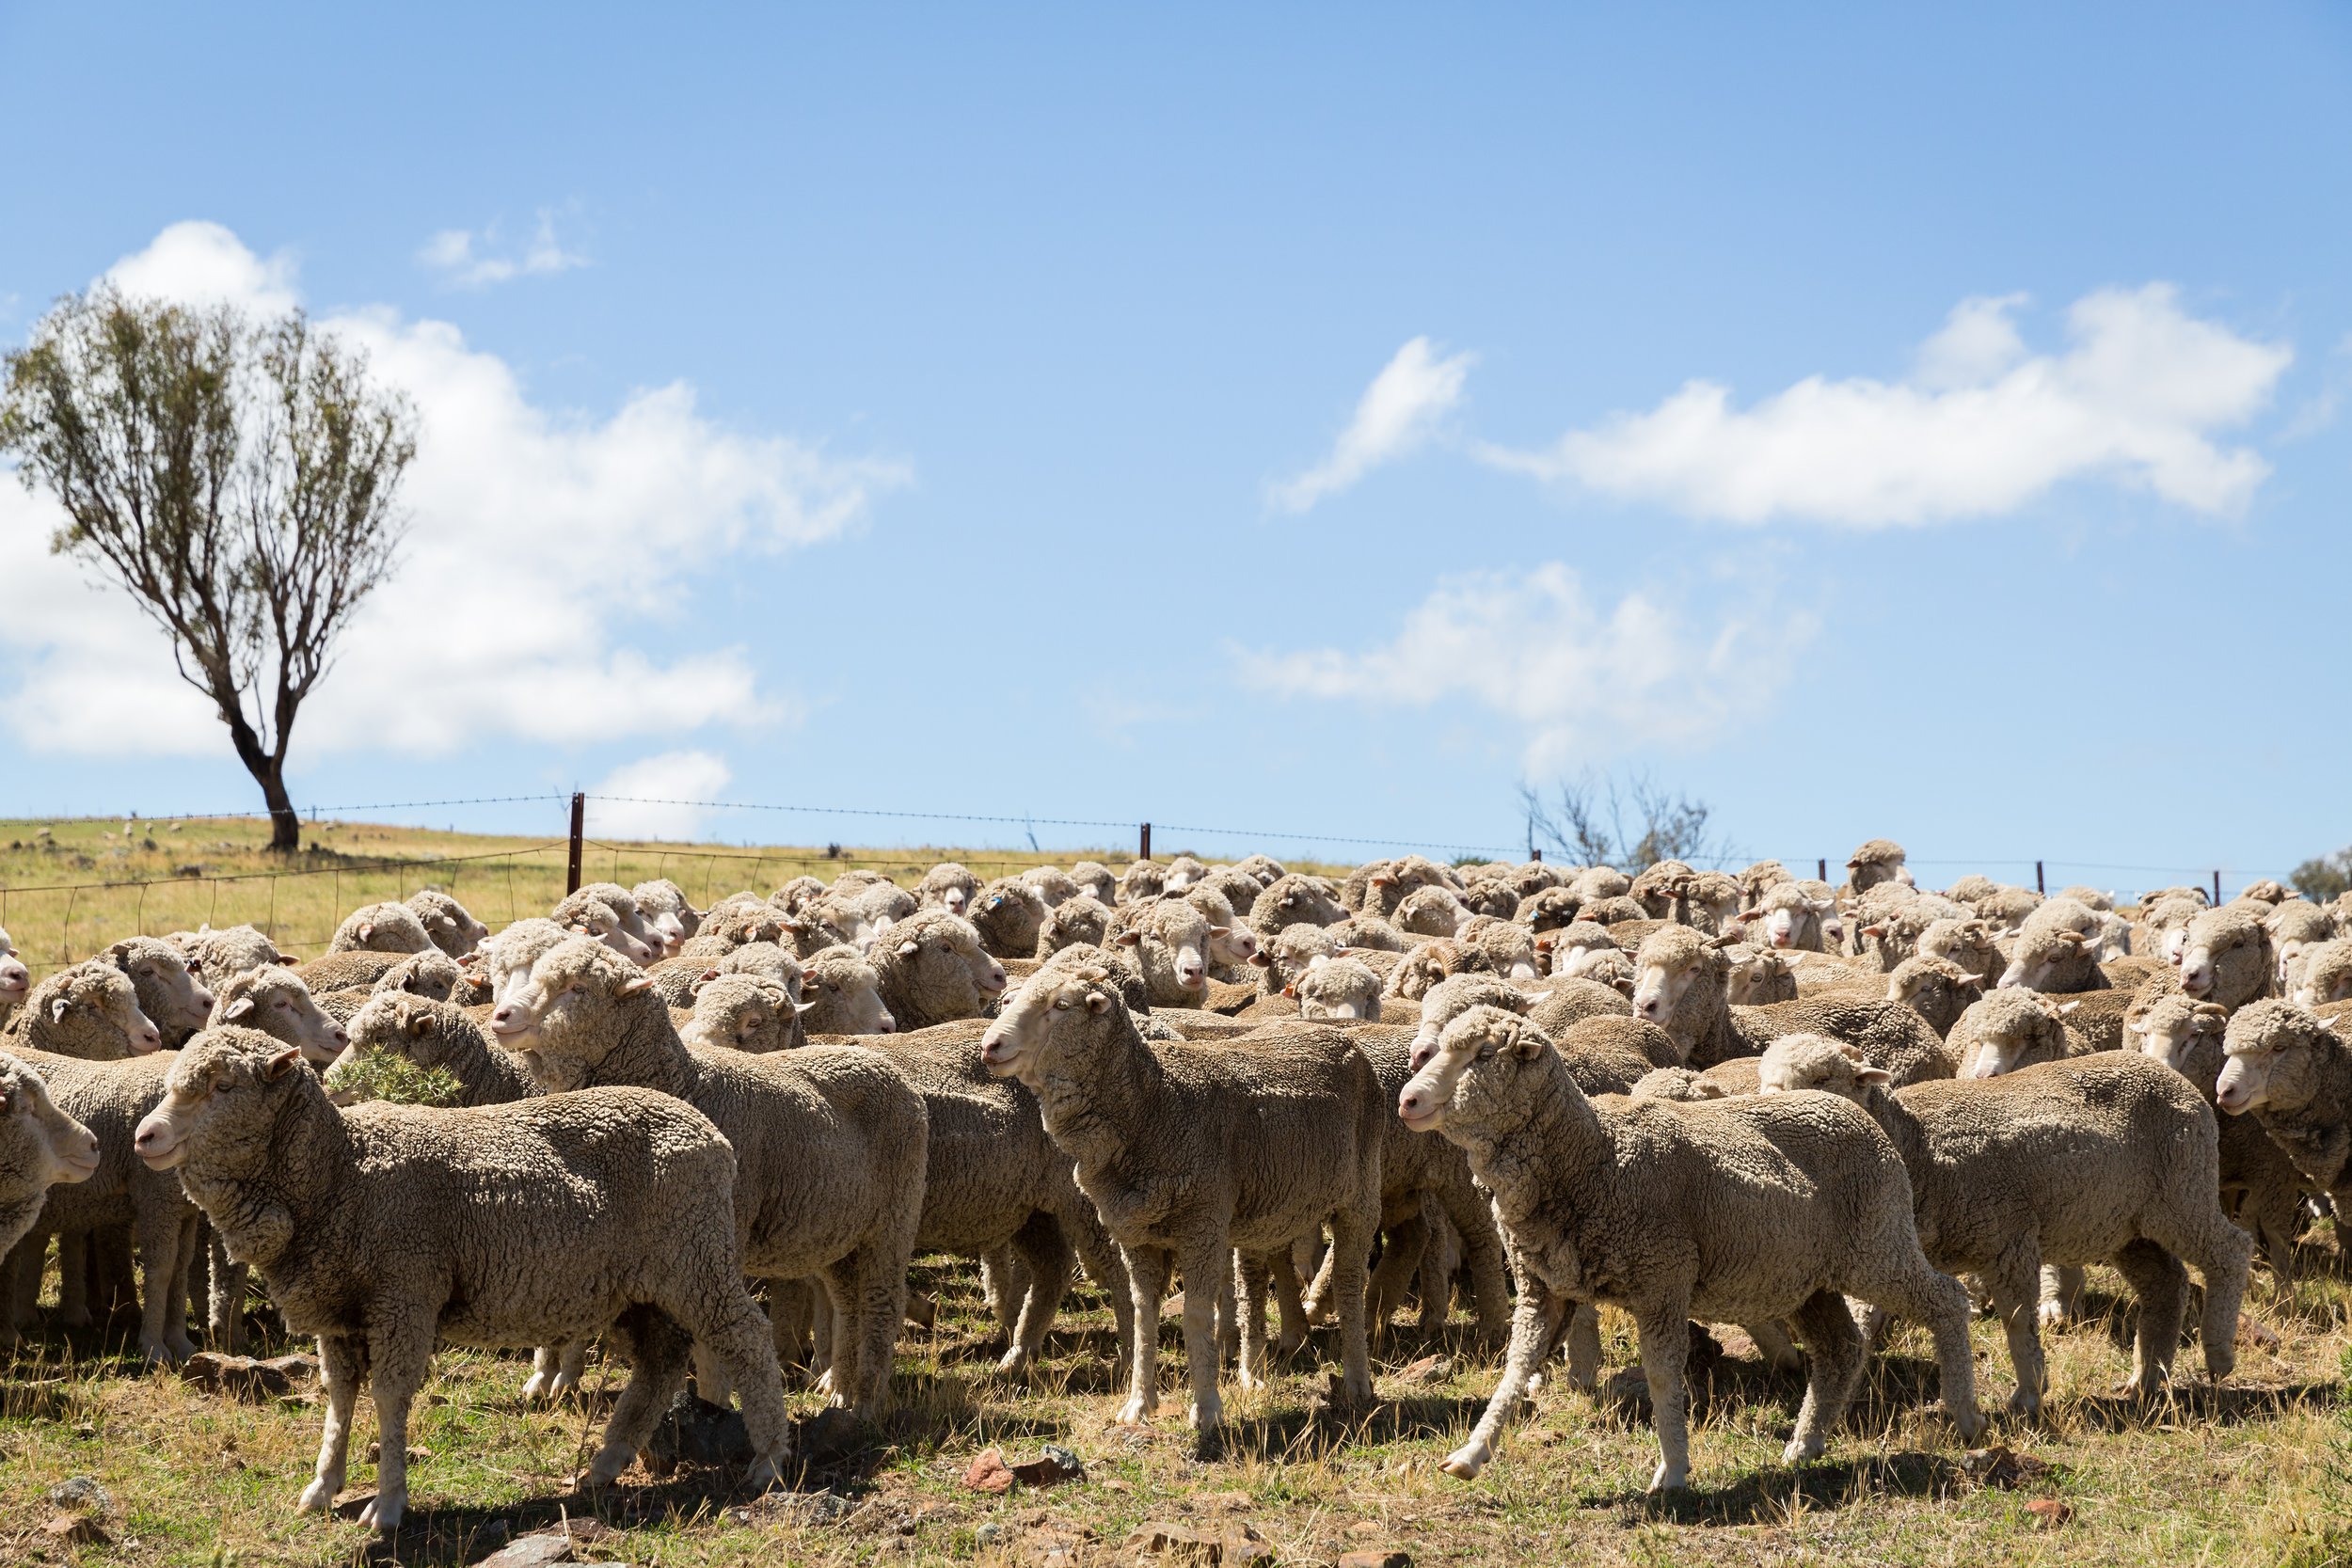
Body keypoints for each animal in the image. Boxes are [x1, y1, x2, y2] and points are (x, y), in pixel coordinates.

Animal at [133, 1027, 789, 1533]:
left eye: (223, 1087)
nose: (145, 1137)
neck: (338, 1174)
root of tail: (708, 1132)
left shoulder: (404, 1291)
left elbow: (388, 1396)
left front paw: (388, 1505)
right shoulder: (340, 1311)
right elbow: (340, 1397)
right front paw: (323, 1487)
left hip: (695, 1256)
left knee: (749, 1339)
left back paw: (769, 1460)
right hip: (635, 1286)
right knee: (661, 1361)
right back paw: (606, 1463)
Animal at [489, 937, 930, 1418]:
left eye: (577, 988)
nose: (501, 1015)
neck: (687, 1084)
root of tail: (878, 1063)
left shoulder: (716, 1238)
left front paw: (711, 1404)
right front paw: (548, 1377)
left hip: (893, 1219)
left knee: (881, 1303)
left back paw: (865, 1400)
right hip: (837, 1231)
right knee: (848, 1301)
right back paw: (841, 1391)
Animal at [979, 962, 1384, 1450]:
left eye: (1061, 1005)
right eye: (1007, 1001)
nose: (990, 1046)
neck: (1155, 1105)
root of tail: (1339, 1038)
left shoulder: (1201, 1224)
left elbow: (1195, 1315)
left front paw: (1206, 1409)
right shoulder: (1135, 1233)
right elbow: (1142, 1314)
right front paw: (1138, 1405)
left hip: (1360, 1196)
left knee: (1348, 1282)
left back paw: (1357, 1382)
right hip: (1275, 1205)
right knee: (1262, 1277)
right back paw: (1260, 1367)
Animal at [1399, 1005, 1982, 1488]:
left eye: (1483, 1055)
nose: (1408, 1100)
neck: (1595, 1158)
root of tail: (1851, 1110)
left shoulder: (1662, 1279)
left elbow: (1662, 1376)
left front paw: (1674, 1470)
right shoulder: (1542, 1288)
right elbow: (1515, 1370)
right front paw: (1471, 1454)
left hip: (1877, 1244)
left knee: (1947, 1299)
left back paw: (1966, 1416)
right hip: (1805, 1278)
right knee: (1839, 1348)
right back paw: (1805, 1444)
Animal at [1755, 1034, 2249, 1417]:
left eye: (1822, 1078)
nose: (1770, 1108)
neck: (1919, 1145)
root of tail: (2168, 1074)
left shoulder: (2008, 1240)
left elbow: (2017, 1323)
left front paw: (2028, 1395)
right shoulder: (1887, 1249)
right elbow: (1863, 1326)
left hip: (2183, 1188)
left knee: (2231, 1250)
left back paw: (2218, 1353)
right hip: (2127, 1225)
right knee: (2166, 1284)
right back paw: (2146, 1380)